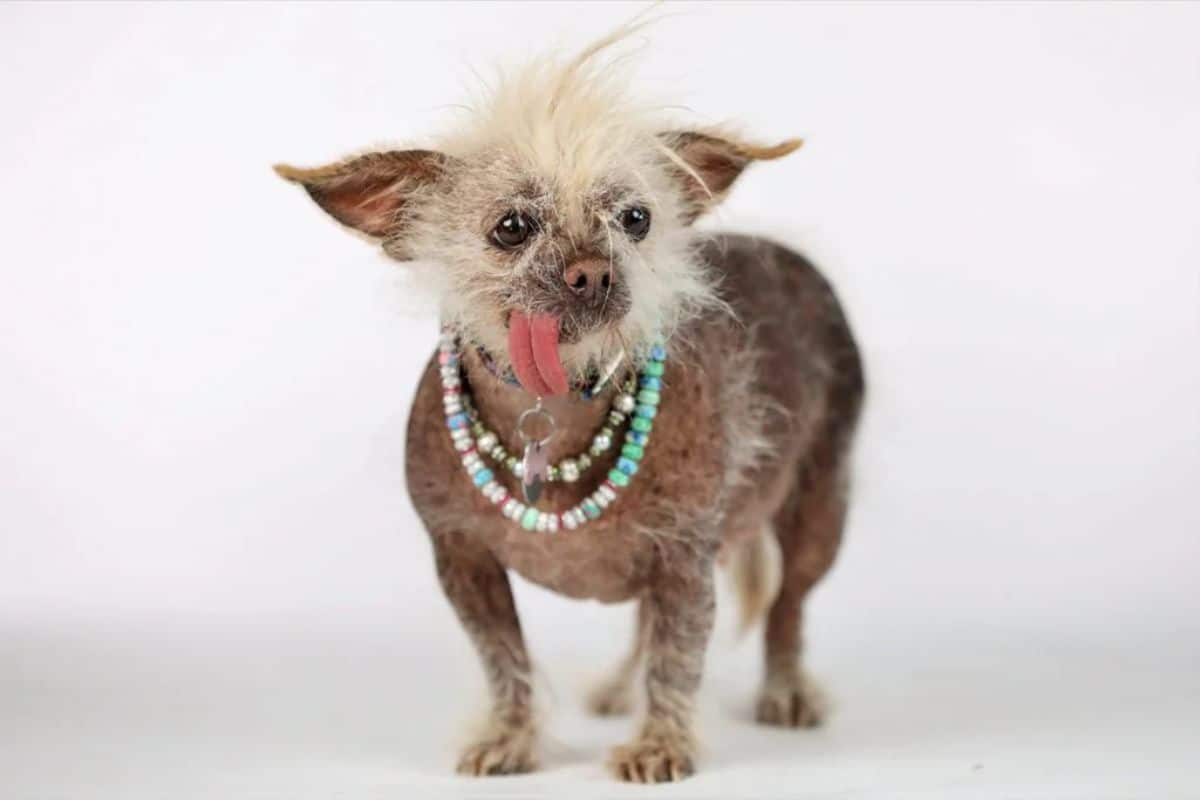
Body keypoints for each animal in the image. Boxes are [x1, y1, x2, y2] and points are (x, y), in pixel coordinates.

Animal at [274, 26, 859, 786]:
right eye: (512, 226)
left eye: (636, 219)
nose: (595, 272)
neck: (550, 407)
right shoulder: (461, 559)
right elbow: (505, 659)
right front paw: (510, 736)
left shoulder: (685, 556)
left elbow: (680, 658)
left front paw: (661, 744)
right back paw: (617, 688)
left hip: (820, 505)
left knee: (789, 605)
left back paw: (785, 689)